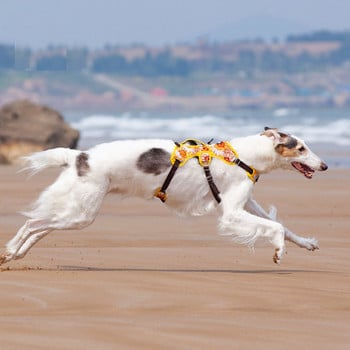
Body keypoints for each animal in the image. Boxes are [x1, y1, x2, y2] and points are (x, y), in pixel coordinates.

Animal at [0, 129, 328, 266]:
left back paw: (15, 254)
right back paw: (12, 250)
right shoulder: (232, 213)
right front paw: (279, 251)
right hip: (81, 213)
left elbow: (284, 226)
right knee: (32, 224)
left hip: (77, 211)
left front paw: (307, 243)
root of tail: (80, 155)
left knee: (39, 227)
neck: (244, 156)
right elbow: (276, 227)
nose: (324, 165)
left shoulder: (245, 203)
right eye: (301, 148)